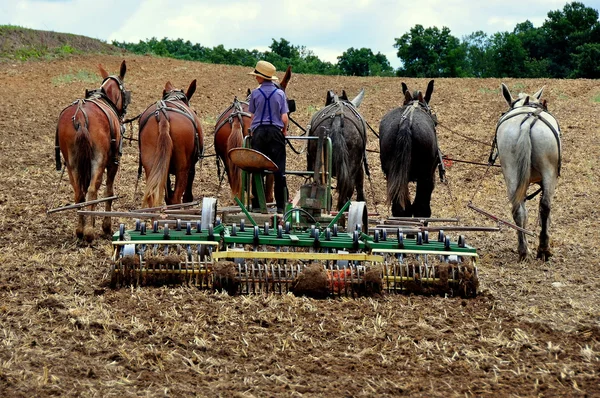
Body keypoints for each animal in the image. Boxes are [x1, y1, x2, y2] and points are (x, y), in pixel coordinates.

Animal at [55, 60, 130, 241]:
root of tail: (80, 116)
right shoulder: (113, 163)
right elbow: (108, 192)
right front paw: (105, 226)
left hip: (72, 163)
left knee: (79, 193)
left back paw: (81, 230)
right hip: (99, 161)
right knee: (92, 190)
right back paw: (89, 232)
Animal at [139, 79, 205, 207]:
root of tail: (163, 117)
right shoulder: (191, 167)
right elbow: (186, 196)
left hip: (151, 165)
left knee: (152, 196)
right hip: (182, 169)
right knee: (176, 198)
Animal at [494, 84, 560, 262]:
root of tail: (526, 122)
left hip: (510, 170)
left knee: (518, 209)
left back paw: (523, 250)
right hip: (549, 172)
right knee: (545, 206)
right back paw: (544, 249)